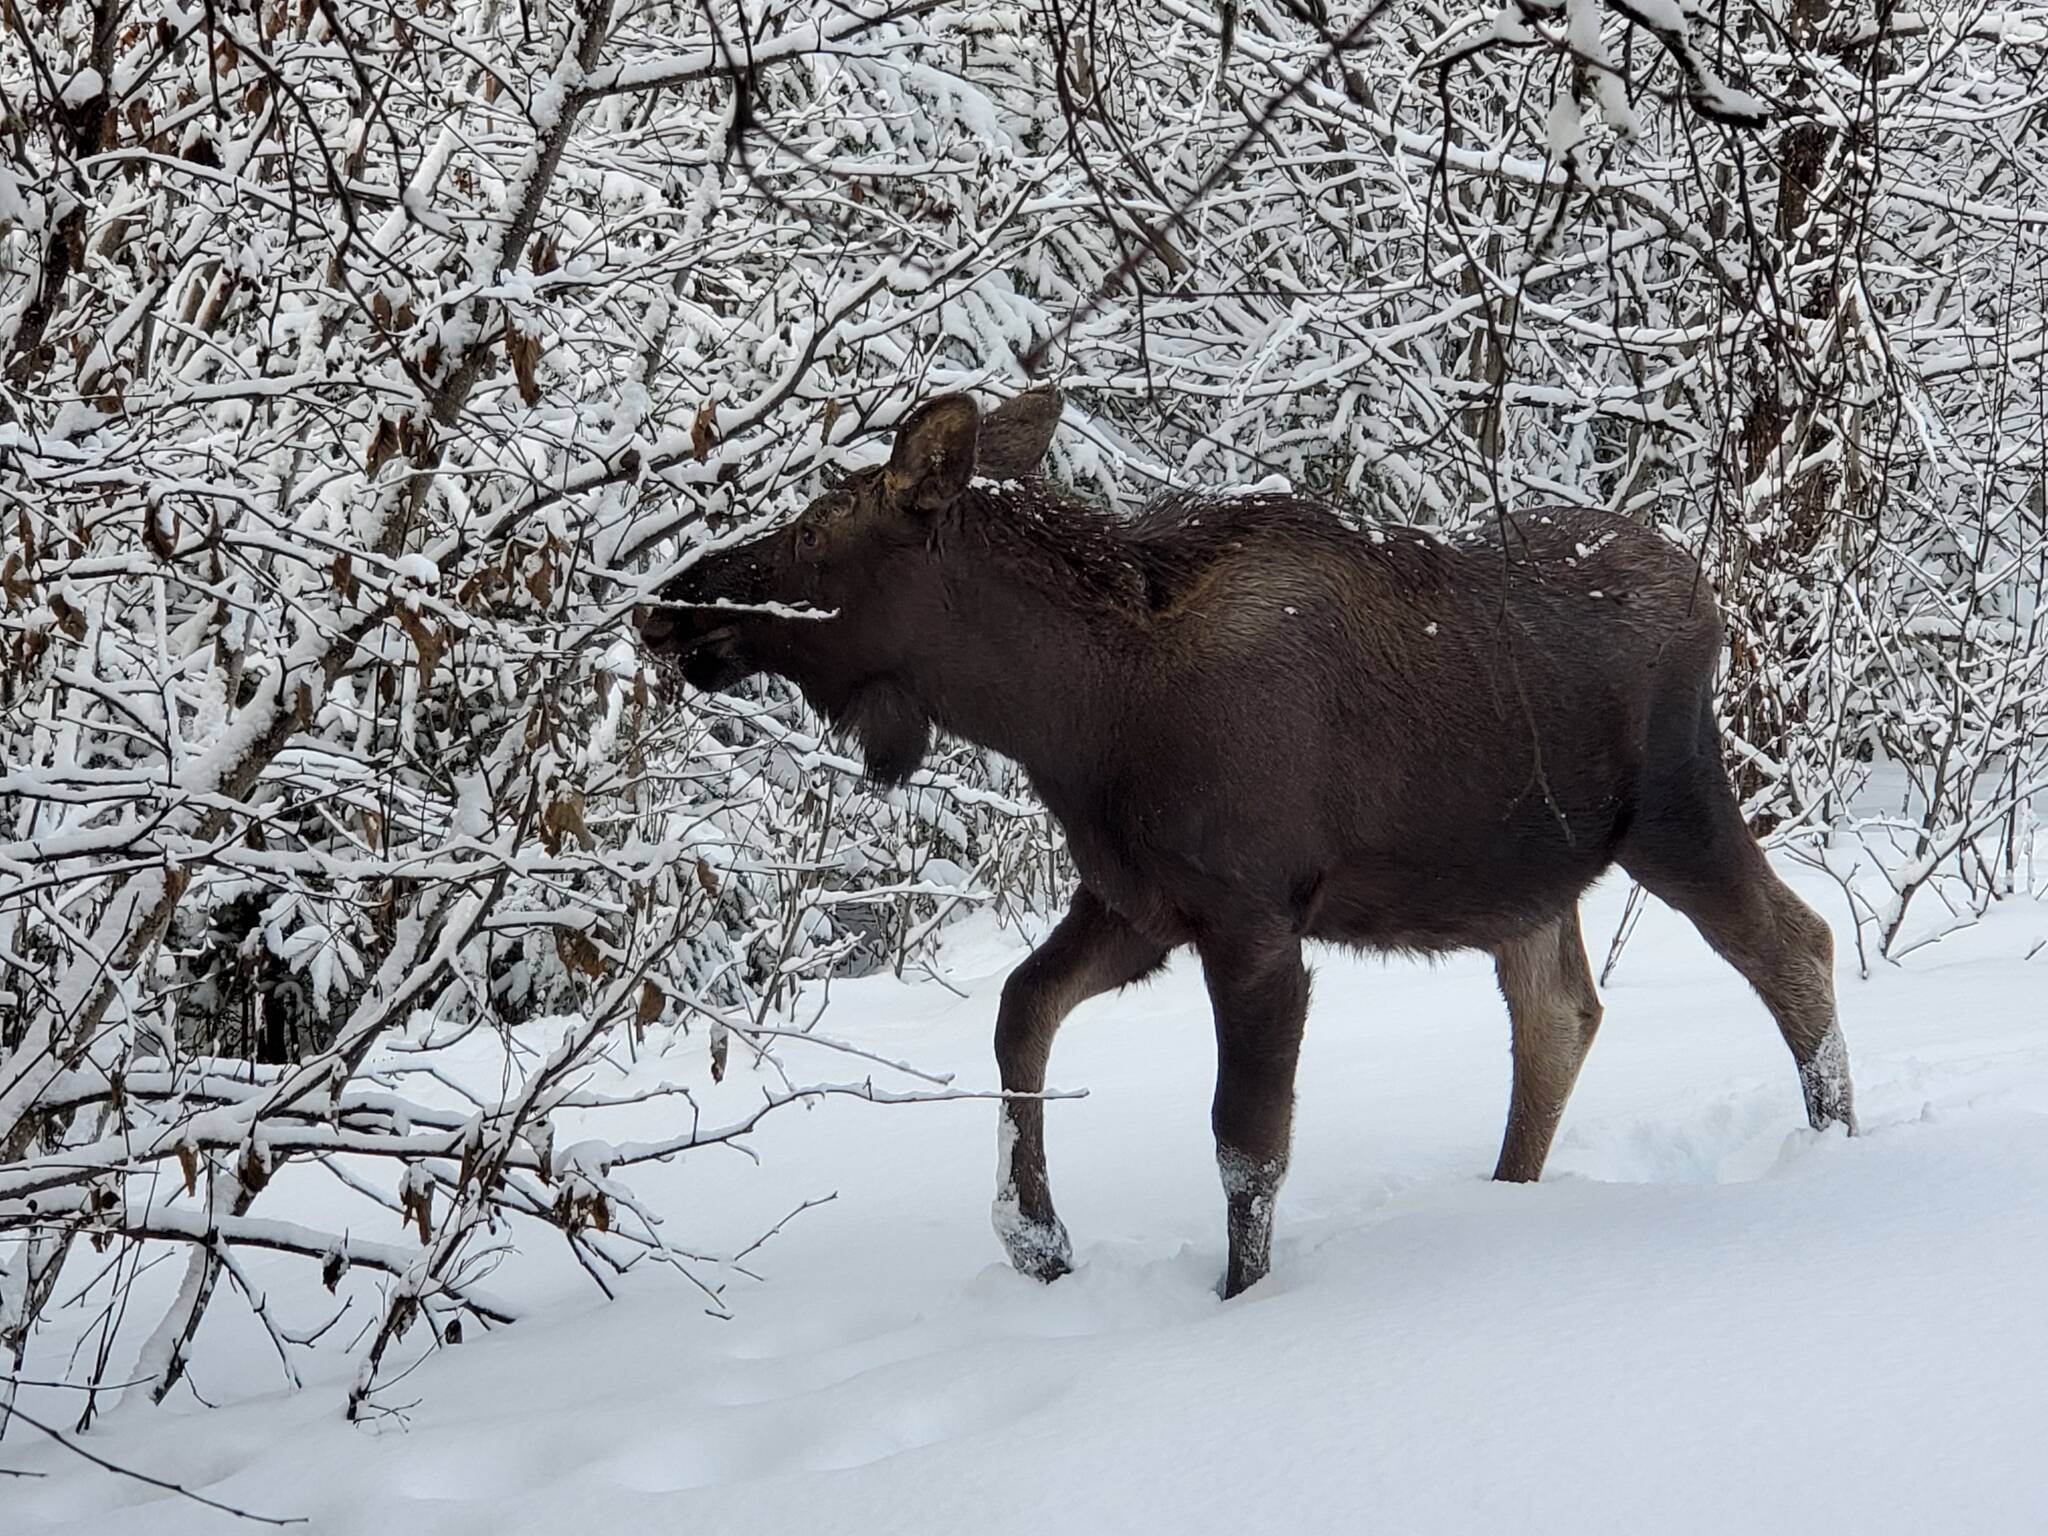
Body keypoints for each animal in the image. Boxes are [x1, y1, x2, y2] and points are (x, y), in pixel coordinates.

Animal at [638, 387, 1859, 1302]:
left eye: (812, 531)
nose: (666, 604)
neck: (1070, 713)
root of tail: (1710, 599)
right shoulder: (1133, 903)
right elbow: (1019, 1013)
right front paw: (1036, 1238)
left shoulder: (1251, 920)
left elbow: (1245, 1140)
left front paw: (1237, 1301)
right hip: (1522, 881)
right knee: (1559, 1015)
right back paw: (1507, 1199)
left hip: (1676, 809)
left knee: (1793, 942)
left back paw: (1834, 1150)